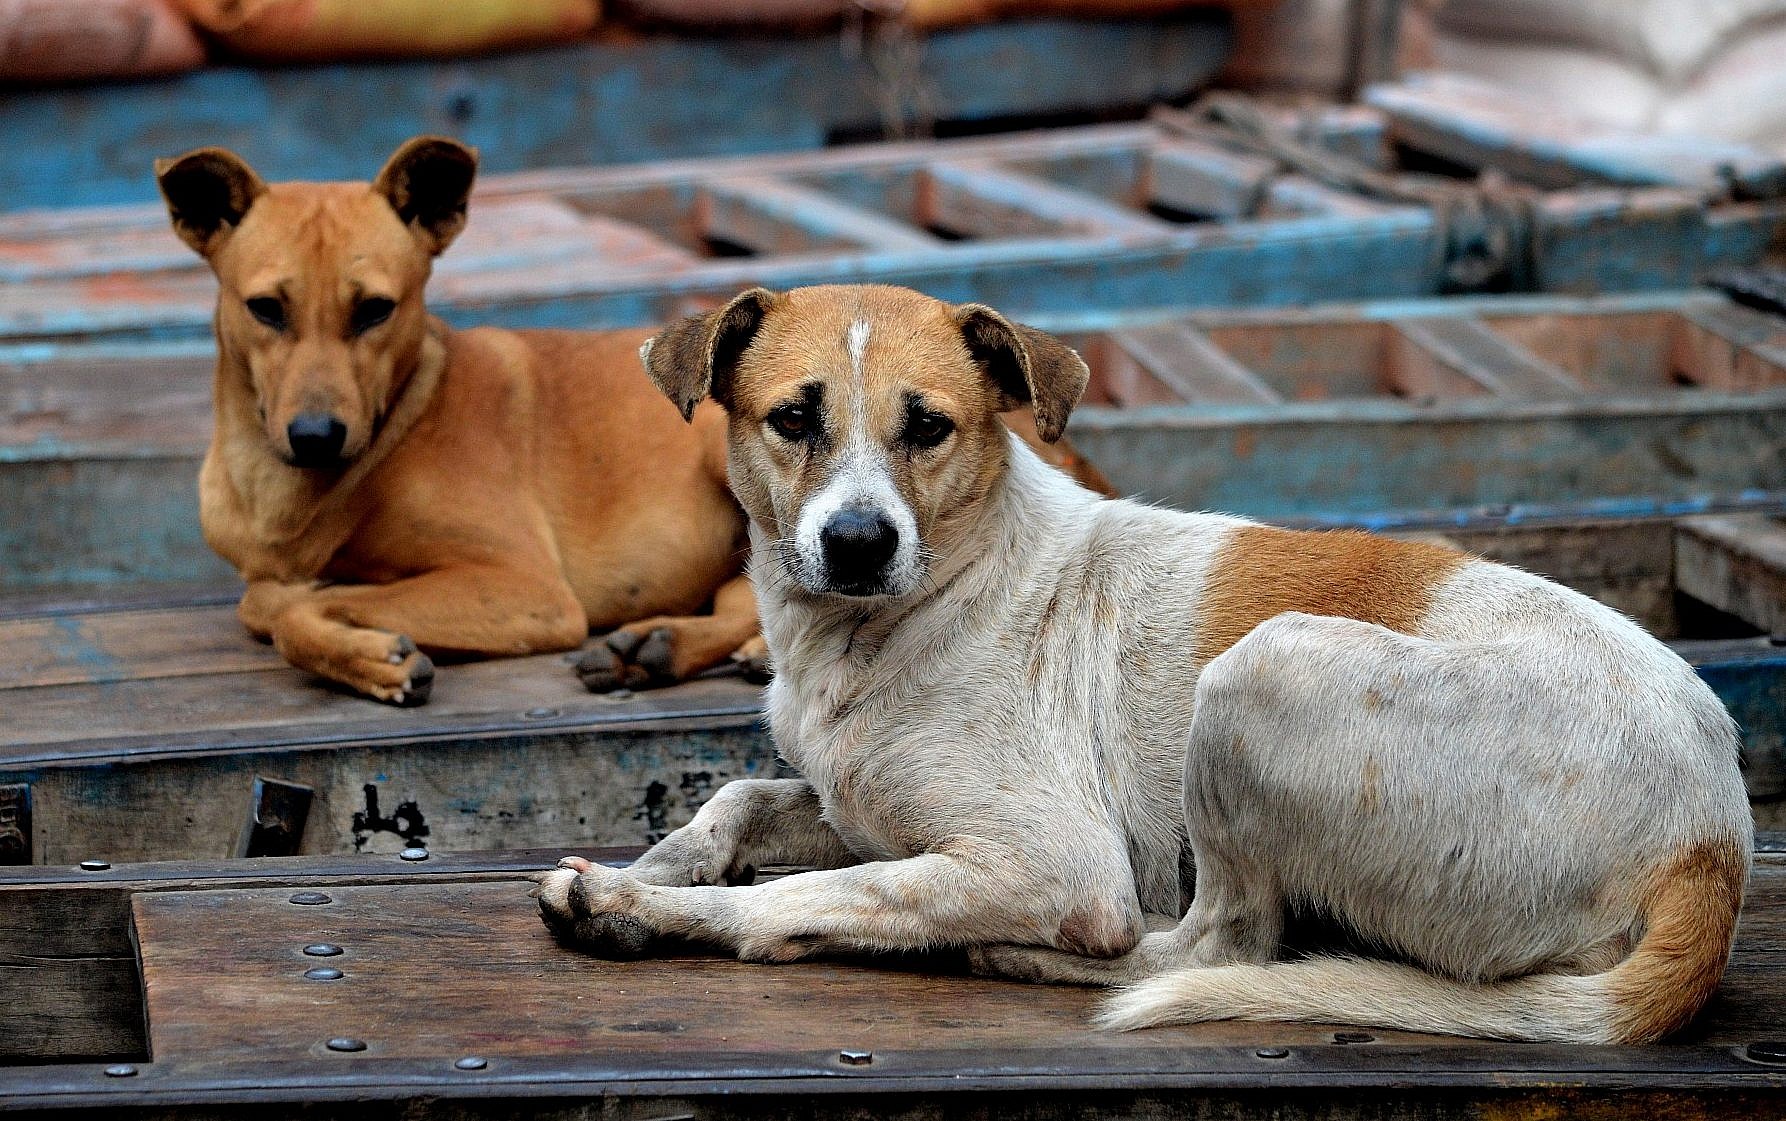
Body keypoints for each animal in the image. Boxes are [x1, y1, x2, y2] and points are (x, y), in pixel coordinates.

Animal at [157, 138, 1100, 699]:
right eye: (266, 308)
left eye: (376, 310)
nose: (315, 436)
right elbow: (269, 596)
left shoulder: (526, 589)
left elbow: (282, 604)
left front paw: (365, 646)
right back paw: (662, 644)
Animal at [535, 280, 1750, 1042]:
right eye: (794, 418)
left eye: (928, 426)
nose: (859, 543)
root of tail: (1714, 842)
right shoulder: (862, 803)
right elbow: (739, 798)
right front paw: (664, 863)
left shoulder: (1051, 861)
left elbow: (807, 895)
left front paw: (639, 906)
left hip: (1263, 671)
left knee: (1219, 945)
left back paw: (1023, 957)